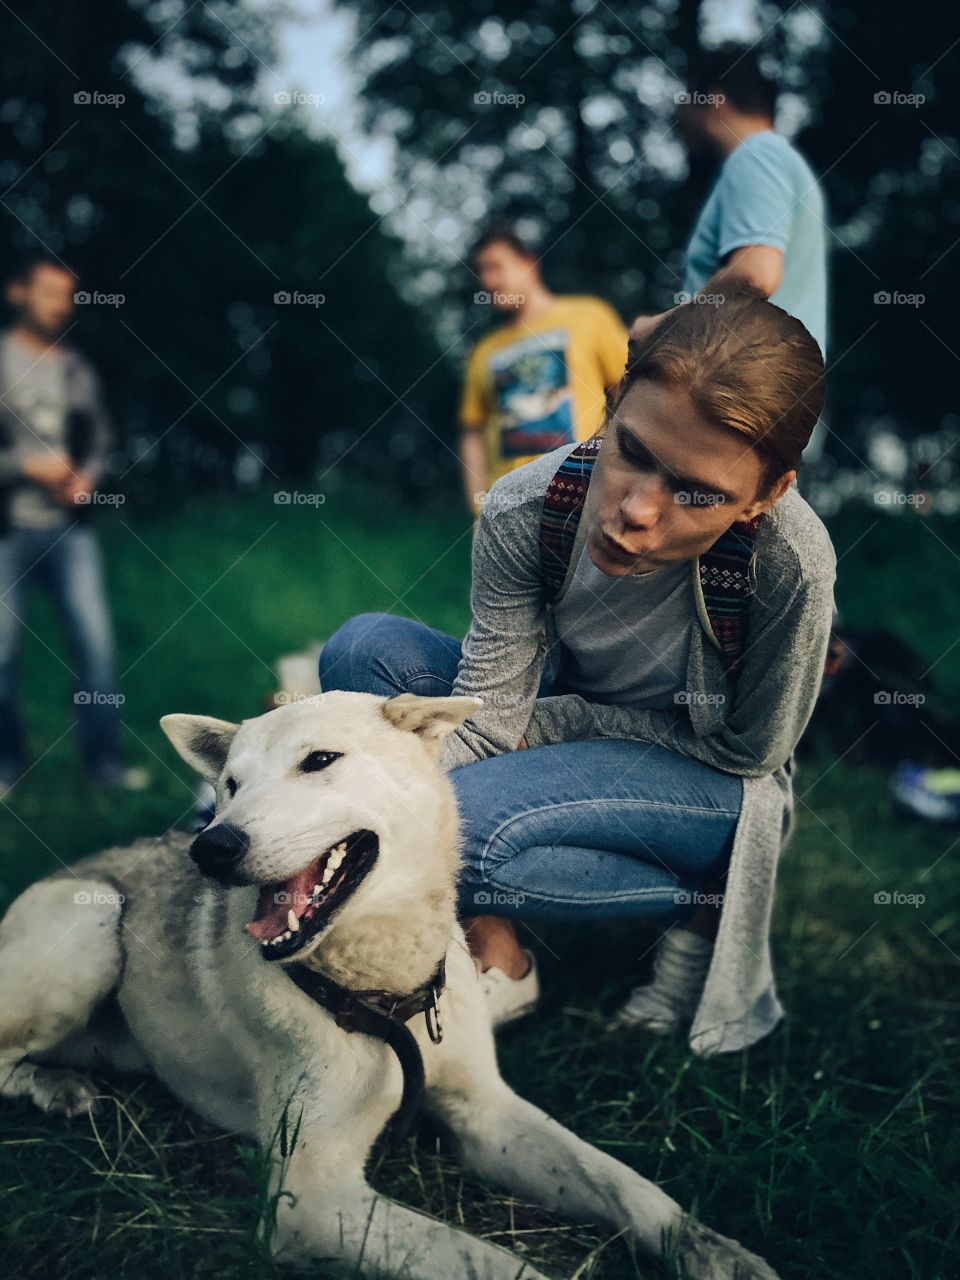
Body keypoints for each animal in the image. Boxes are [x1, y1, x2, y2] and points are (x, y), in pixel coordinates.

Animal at [0, 691, 783, 1280]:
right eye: (230, 787)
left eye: (319, 761)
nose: (210, 847)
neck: (387, 997)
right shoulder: (312, 1199)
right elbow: (485, 1261)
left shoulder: (486, 1113)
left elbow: (626, 1186)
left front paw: (714, 1251)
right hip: (91, 926)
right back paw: (55, 1087)